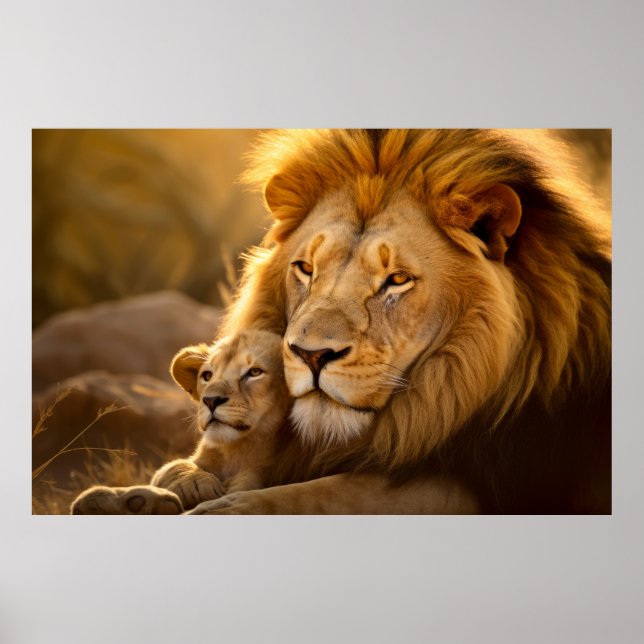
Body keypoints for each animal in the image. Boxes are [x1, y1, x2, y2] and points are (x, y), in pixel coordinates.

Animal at [71, 330, 290, 513]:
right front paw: (193, 483)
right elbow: (172, 466)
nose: (210, 400)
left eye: (254, 372)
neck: (237, 449)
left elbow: (255, 483)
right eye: (207, 376)